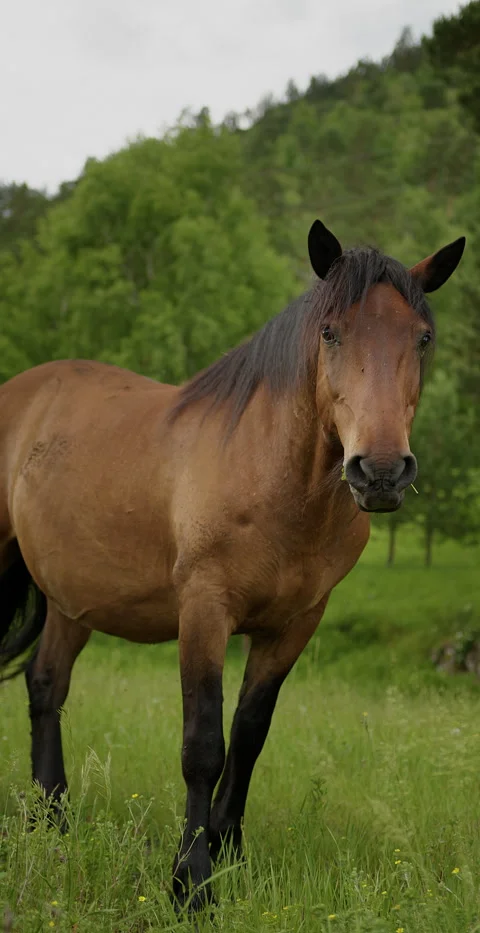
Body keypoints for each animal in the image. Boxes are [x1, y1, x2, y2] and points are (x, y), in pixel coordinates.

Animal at [0, 220, 465, 912]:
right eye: (331, 332)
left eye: (423, 337)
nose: (380, 471)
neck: (273, 477)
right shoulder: (204, 612)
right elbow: (204, 745)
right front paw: (190, 882)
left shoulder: (294, 624)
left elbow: (248, 737)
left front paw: (231, 858)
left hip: (72, 599)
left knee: (46, 686)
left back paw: (51, 820)